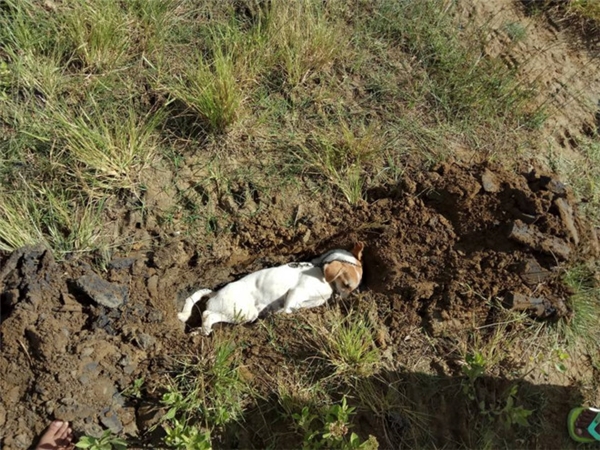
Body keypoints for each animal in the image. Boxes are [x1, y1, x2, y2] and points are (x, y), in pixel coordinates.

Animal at [177, 243, 366, 334]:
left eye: (353, 288)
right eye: (347, 285)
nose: (345, 301)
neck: (320, 270)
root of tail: (215, 293)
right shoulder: (296, 292)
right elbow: (287, 308)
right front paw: (278, 315)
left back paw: (198, 331)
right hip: (245, 312)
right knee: (208, 314)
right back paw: (204, 331)